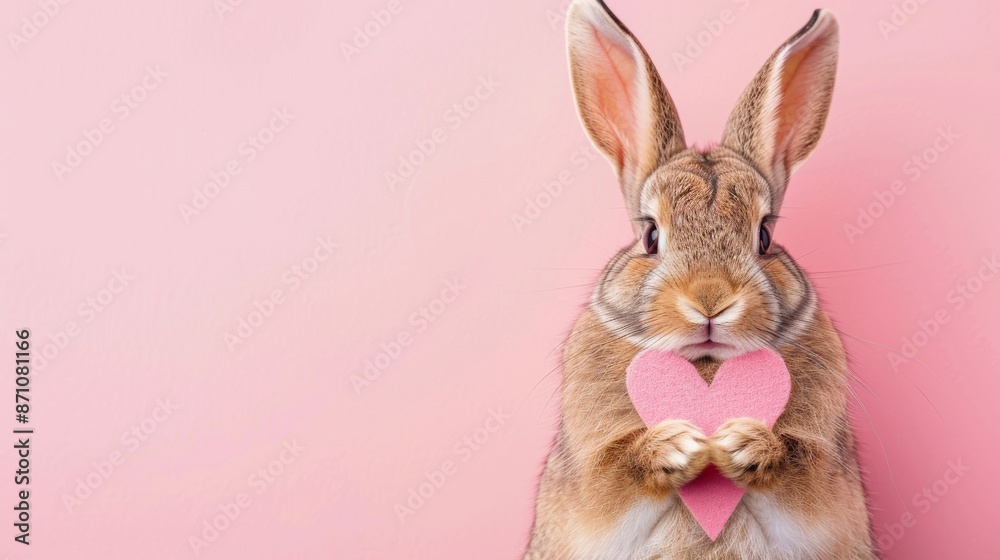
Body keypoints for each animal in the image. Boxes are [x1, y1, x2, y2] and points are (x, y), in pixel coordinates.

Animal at [524, 1, 876, 559]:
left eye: (764, 235)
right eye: (650, 235)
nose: (710, 300)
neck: (707, 365)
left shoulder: (828, 481)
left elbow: (800, 467)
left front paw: (743, 443)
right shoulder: (587, 478)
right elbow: (612, 472)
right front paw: (678, 445)